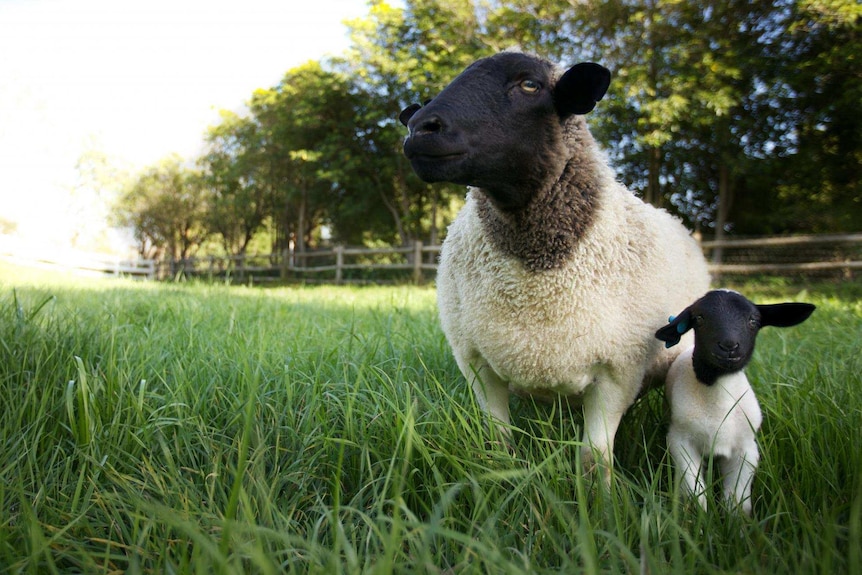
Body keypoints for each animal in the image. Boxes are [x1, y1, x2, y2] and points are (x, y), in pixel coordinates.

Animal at [398, 51, 708, 480]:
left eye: (530, 85)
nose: (419, 129)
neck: (536, 271)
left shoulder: (619, 372)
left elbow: (594, 459)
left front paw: (600, 495)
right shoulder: (478, 365)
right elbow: (499, 445)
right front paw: (503, 476)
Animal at [660, 290, 820, 516]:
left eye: (753, 321)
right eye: (699, 318)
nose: (729, 346)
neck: (718, 405)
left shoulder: (746, 449)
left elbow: (737, 500)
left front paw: (736, 523)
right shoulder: (681, 442)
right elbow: (695, 492)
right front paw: (699, 520)